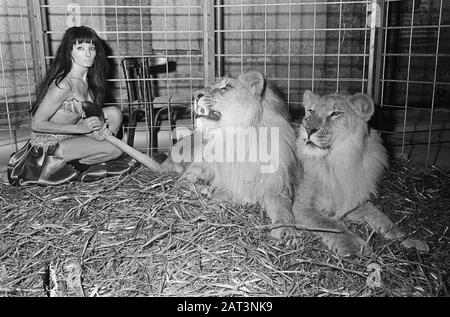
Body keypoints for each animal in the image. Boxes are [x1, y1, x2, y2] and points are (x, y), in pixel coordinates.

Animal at [161, 70, 296, 238]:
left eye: (227, 87)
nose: (195, 94)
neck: (240, 137)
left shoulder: (276, 185)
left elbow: (283, 208)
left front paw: (286, 230)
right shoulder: (228, 180)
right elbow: (219, 194)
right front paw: (212, 208)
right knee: (183, 182)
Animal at [292, 90, 428, 256]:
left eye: (336, 113)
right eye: (310, 111)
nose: (308, 129)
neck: (339, 161)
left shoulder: (351, 197)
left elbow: (382, 218)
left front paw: (411, 241)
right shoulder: (301, 206)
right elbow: (330, 224)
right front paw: (356, 248)